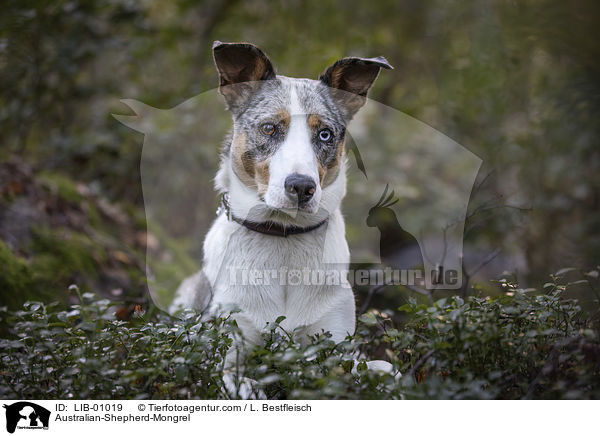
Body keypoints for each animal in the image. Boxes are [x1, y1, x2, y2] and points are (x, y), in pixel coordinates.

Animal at [170, 41, 394, 370]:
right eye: (269, 128)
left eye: (324, 134)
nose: (301, 187)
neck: (283, 238)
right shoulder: (229, 349)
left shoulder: (338, 346)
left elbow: (385, 369)